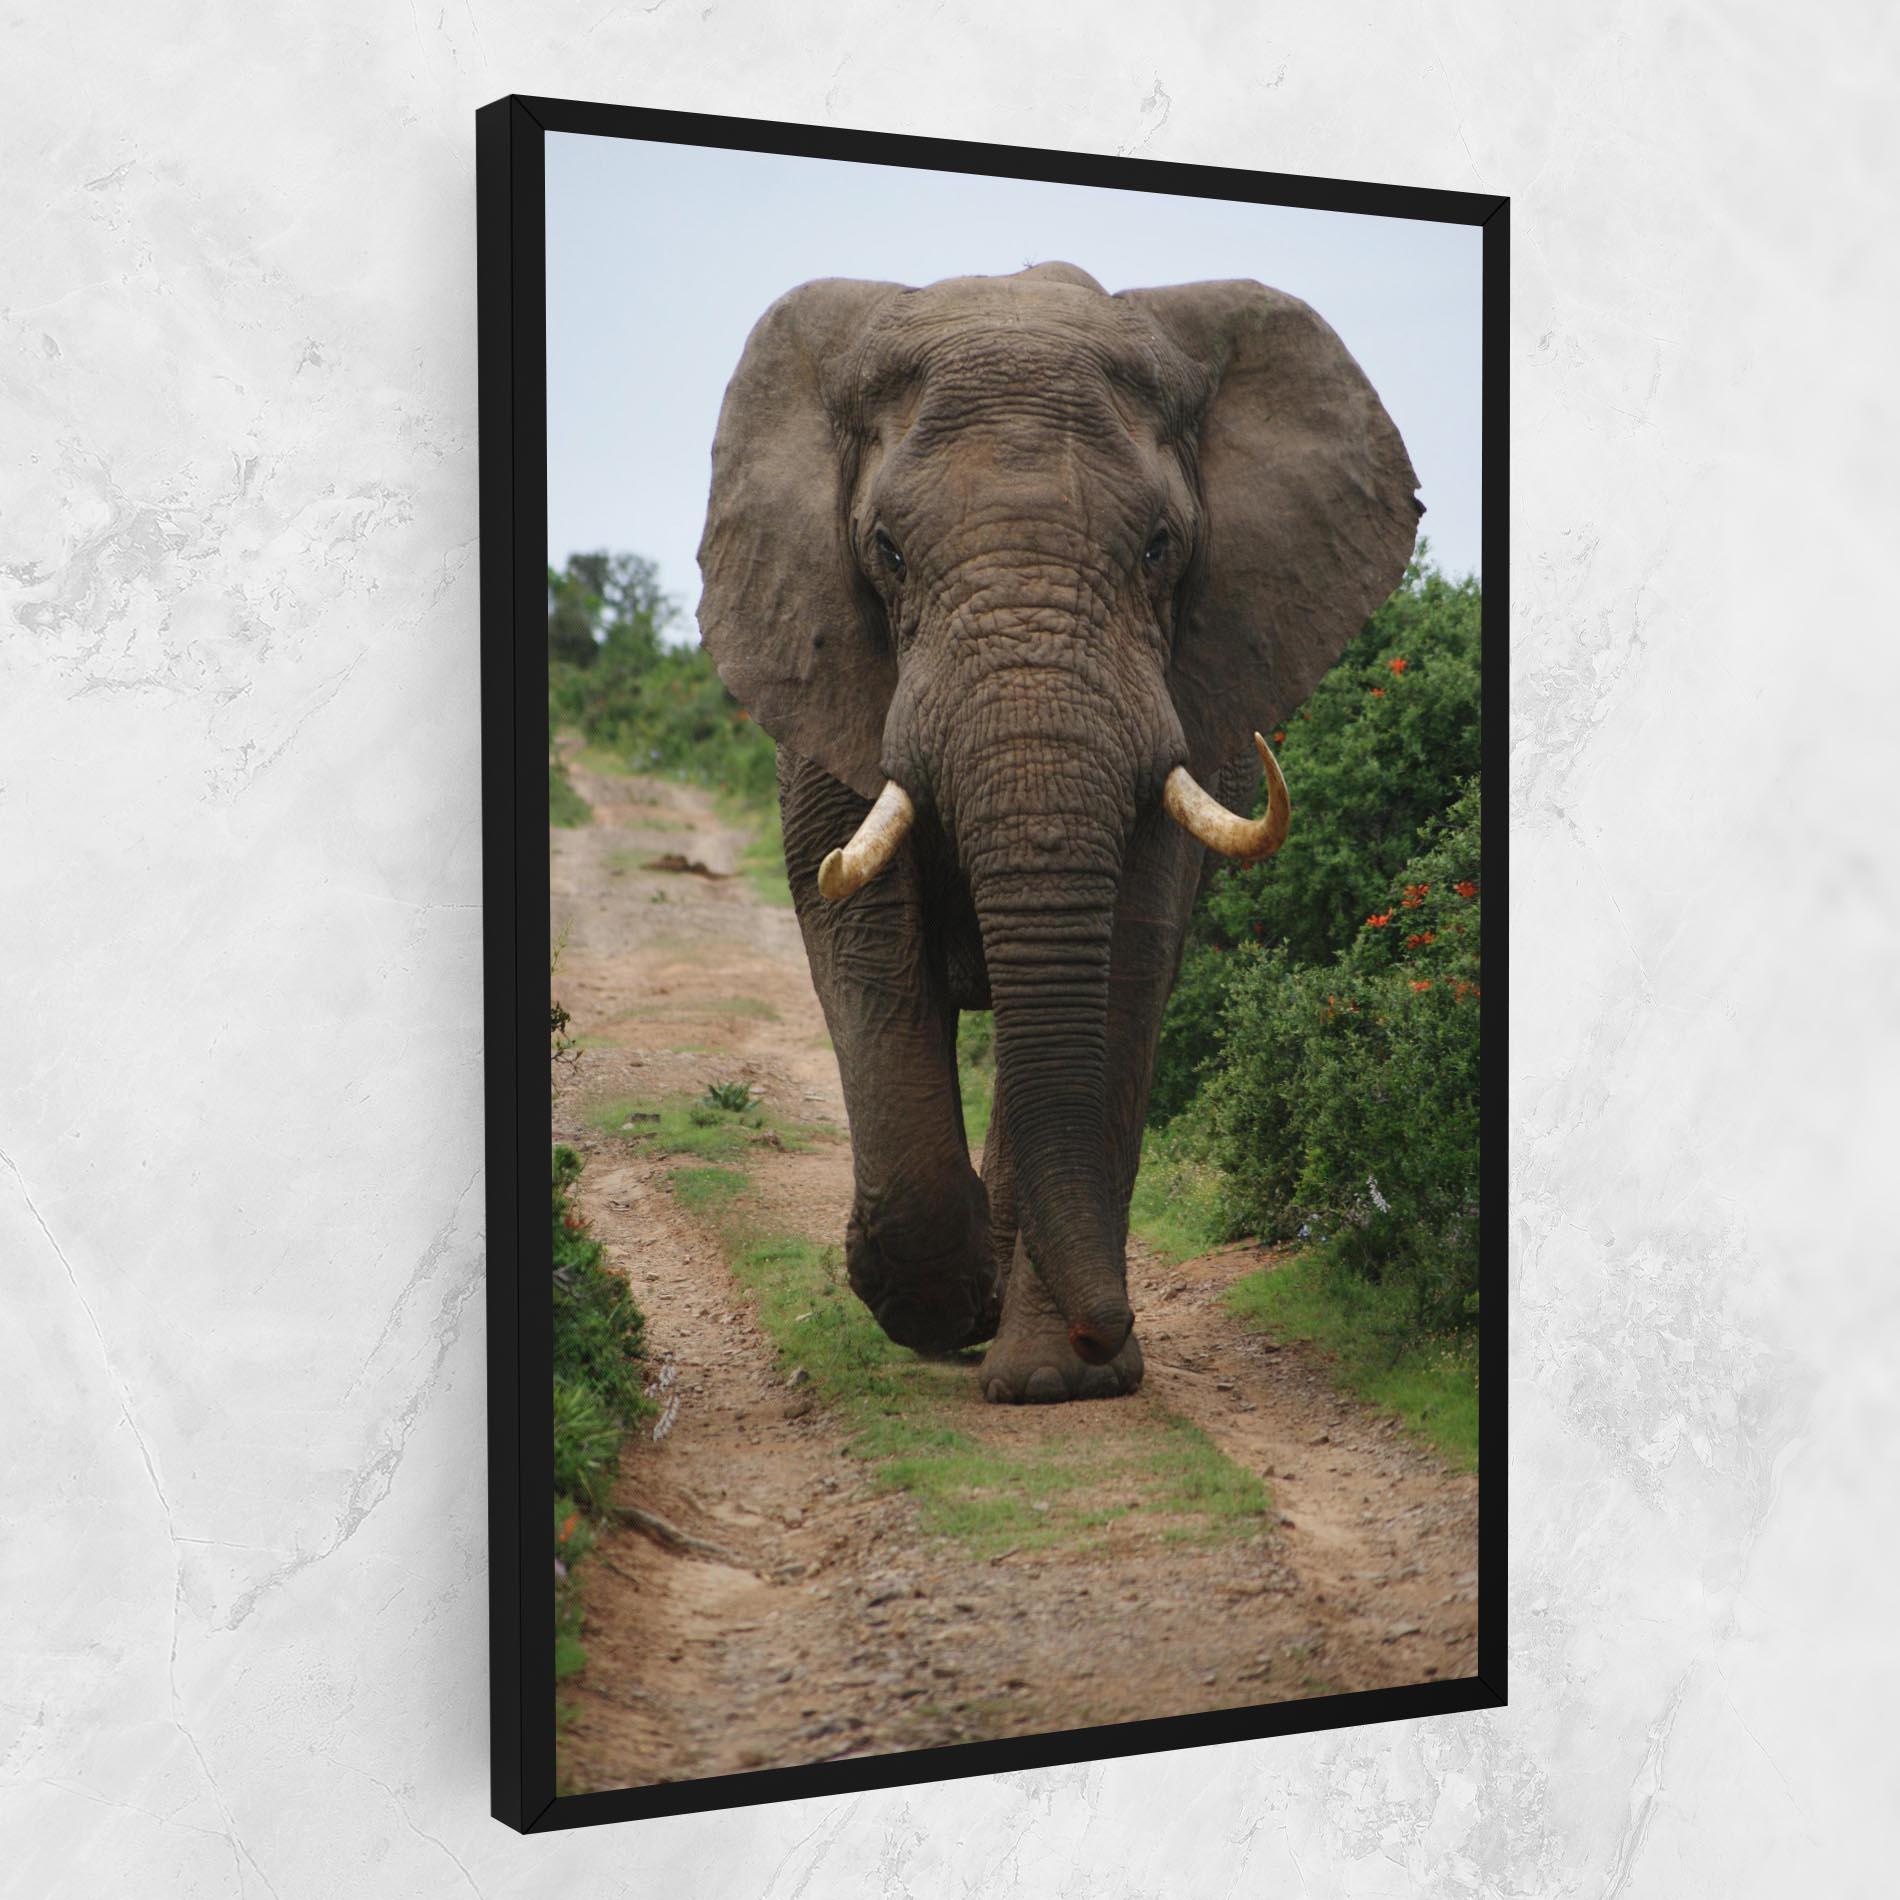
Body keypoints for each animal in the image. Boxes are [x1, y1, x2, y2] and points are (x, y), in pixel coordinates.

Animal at [697, 262, 1419, 1404]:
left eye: (1162, 547)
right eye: (885, 551)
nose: (1105, 1327)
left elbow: (1124, 958)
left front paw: (1053, 1380)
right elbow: (861, 939)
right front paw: (934, 1305)